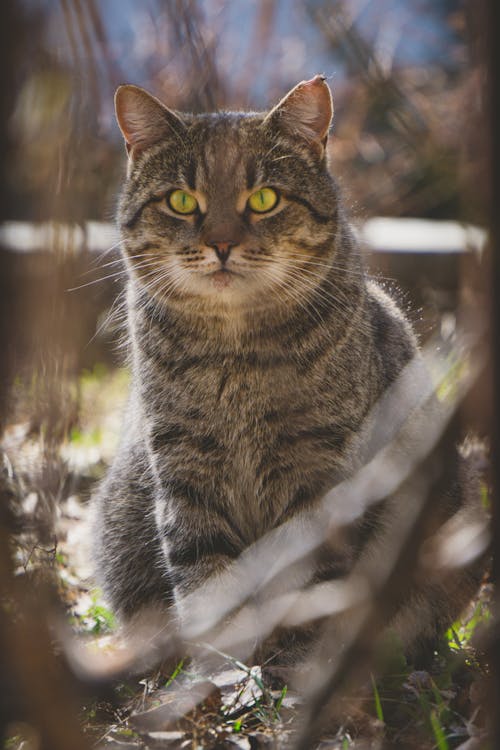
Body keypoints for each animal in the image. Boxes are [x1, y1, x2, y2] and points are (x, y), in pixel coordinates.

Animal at [92, 76, 486, 672]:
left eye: (264, 199)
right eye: (182, 201)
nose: (221, 243)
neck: (234, 354)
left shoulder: (318, 461)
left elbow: (305, 573)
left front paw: (293, 664)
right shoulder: (183, 460)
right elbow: (206, 575)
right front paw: (224, 670)